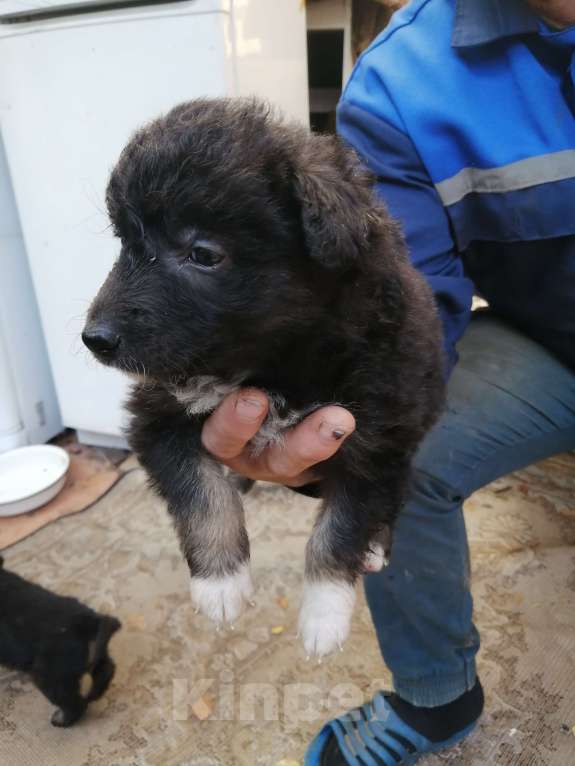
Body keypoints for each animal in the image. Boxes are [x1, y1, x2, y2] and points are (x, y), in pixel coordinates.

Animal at [0, 560, 120, 728]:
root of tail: (88, 624)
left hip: (50, 676)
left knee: (75, 704)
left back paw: (60, 719)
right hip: (96, 655)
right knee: (105, 670)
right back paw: (94, 694)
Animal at [82, 97, 446, 660]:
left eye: (202, 254)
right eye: (125, 243)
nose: (94, 338)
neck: (270, 362)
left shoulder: (374, 437)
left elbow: (341, 528)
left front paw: (324, 615)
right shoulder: (157, 417)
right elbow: (201, 494)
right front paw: (220, 583)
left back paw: (376, 547)